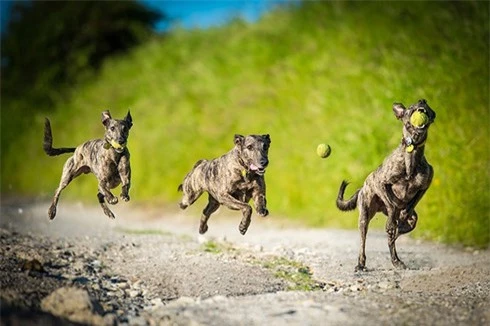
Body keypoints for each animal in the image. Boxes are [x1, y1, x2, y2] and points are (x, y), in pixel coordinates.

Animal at [336, 98, 436, 270]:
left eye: (426, 104)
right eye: (410, 107)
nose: (421, 100)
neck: (411, 155)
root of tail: (362, 188)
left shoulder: (424, 187)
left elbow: (409, 206)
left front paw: (402, 216)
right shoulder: (380, 182)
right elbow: (392, 205)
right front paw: (394, 214)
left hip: (411, 221)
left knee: (394, 237)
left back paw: (396, 257)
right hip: (364, 217)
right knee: (364, 240)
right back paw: (361, 263)